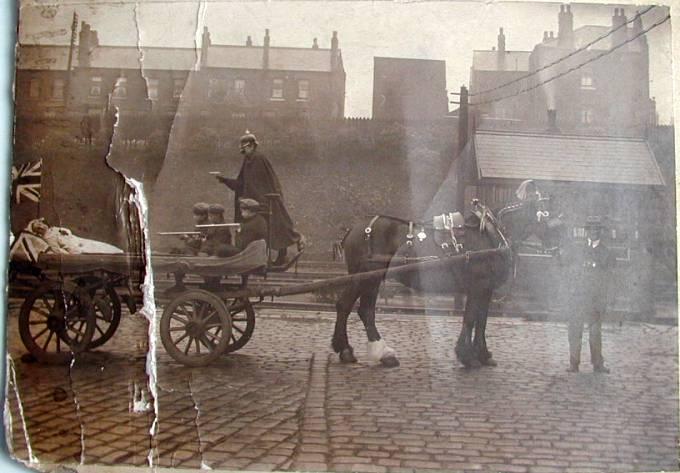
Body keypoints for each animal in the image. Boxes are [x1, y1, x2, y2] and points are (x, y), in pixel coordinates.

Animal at [332, 195, 560, 368]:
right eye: (553, 220)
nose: (558, 251)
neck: (490, 236)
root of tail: (353, 229)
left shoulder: (485, 290)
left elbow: (482, 320)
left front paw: (482, 354)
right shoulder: (478, 286)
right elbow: (470, 318)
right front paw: (467, 356)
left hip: (371, 279)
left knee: (359, 309)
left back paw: (365, 351)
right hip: (368, 276)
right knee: (353, 307)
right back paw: (354, 351)